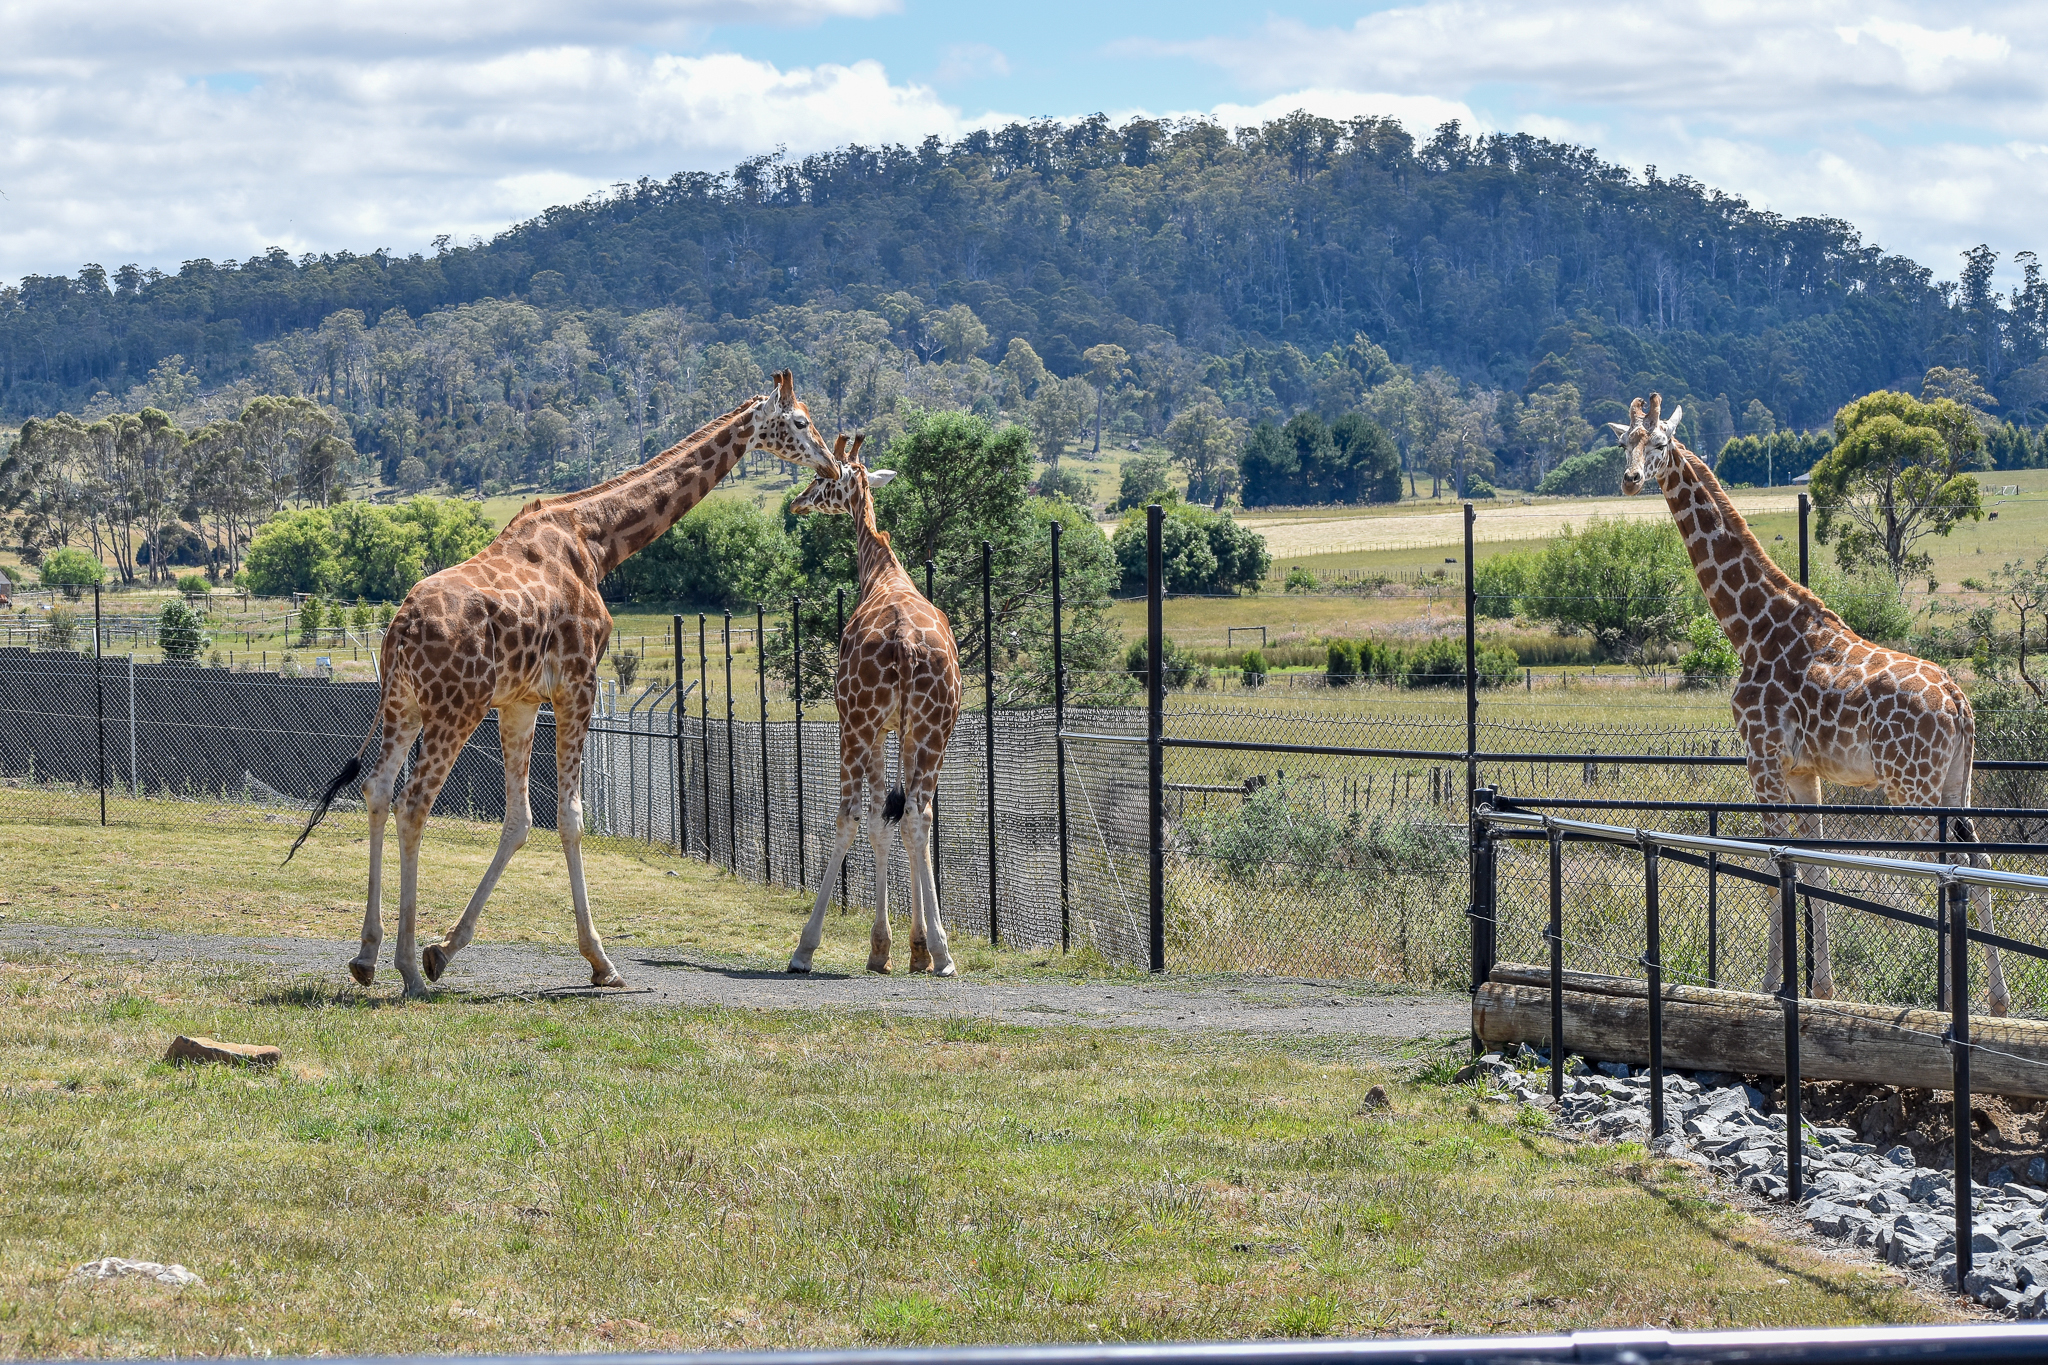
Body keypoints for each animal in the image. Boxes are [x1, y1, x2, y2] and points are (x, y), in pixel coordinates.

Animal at [287, 372, 839, 997]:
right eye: (800, 421)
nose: (830, 465)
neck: (598, 540)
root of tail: (399, 629)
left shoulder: (522, 701)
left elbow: (520, 822)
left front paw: (444, 950)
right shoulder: (579, 682)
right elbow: (570, 818)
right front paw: (601, 961)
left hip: (404, 704)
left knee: (377, 790)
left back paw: (367, 955)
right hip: (455, 707)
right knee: (413, 803)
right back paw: (406, 969)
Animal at [785, 435, 963, 977]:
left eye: (821, 479)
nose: (797, 502)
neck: (882, 571)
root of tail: (904, 643)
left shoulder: (877, 727)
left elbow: (875, 823)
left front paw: (881, 948)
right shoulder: (903, 730)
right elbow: (899, 823)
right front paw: (913, 948)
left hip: (855, 723)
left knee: (848, 817)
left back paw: (803, 948)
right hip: (935, 729)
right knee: (919, 817)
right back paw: (942, 953)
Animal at [1615, 393, 2009, 1013]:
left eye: (1657, 443)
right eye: (1621, 442)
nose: (1630, 479)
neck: (1750, 628)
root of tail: (1958, 701)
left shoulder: (1762, 756)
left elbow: (1777, 861)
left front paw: (1768, 986)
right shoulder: (1805, 770)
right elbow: (1814, 866)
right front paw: (1820, 988)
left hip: (1911, 784)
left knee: (1949, 867)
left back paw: (1954, 1003)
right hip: (1956, 781)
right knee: (1980, 861)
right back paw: (1996, 1002)